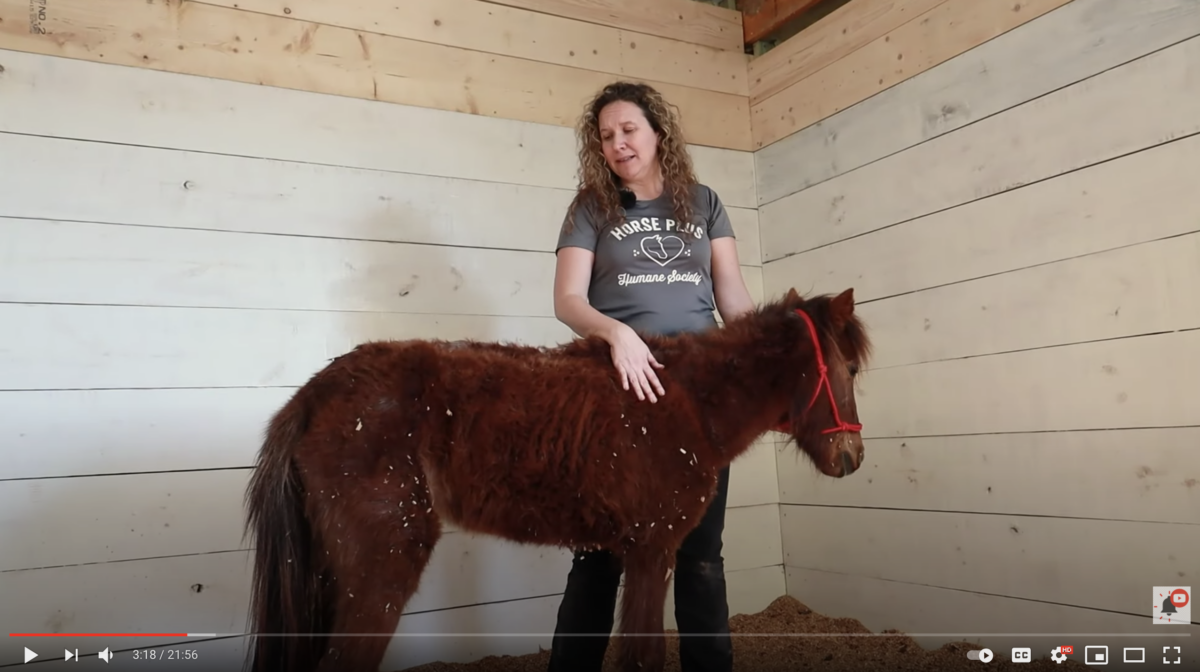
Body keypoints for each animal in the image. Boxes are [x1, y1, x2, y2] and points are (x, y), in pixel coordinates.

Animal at [241, 286, 872, 672]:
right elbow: (643, 656)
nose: (853, 456)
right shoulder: (652, 548)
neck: (688, 401)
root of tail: (312, 396)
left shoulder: (631, 550)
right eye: (849, 368)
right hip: (381, 568)